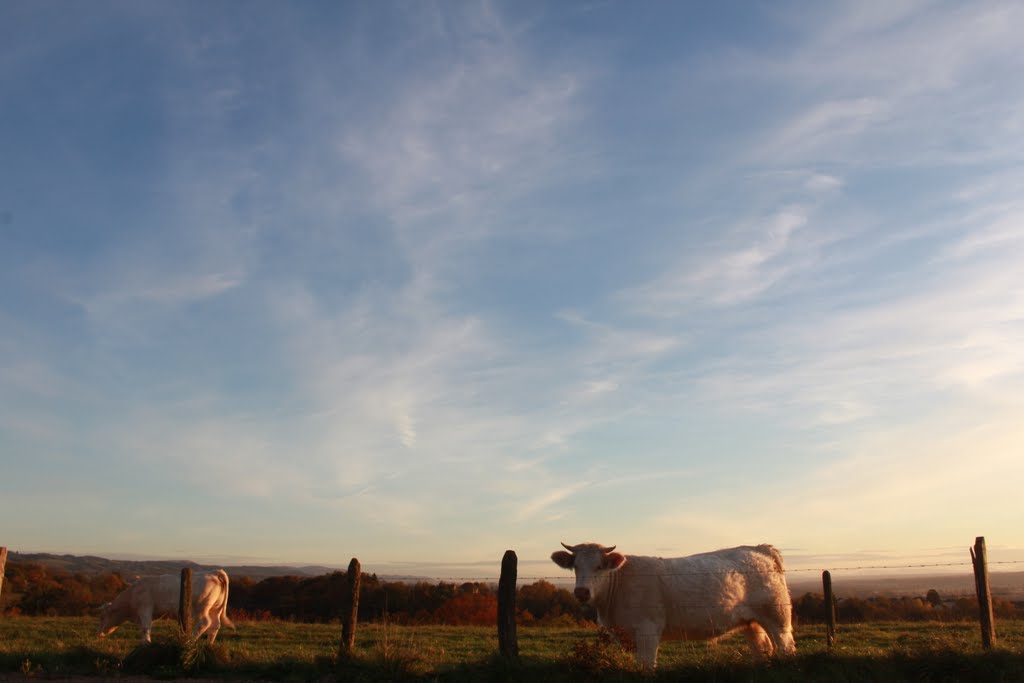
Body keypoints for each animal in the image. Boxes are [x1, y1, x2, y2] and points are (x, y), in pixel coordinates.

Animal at [96, 569, 234, 643]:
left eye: (102, 617)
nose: (99, 634)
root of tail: (213, 572)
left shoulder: (145, 608)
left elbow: (146, 627)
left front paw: (146, 643)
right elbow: (143, 628)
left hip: (202, 608)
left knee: (204, 623)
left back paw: (190, 641)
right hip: (215, 609)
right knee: (215, 625)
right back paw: (208, 645)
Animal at [552, 540, 798, 671]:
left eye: (600, 566)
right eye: (575, 566)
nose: (581, 592)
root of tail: (760, 548)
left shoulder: (648, 629)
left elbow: (646, 665)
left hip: (777, 615)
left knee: (785, 645)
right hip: (751, 622)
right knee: (762, 647)